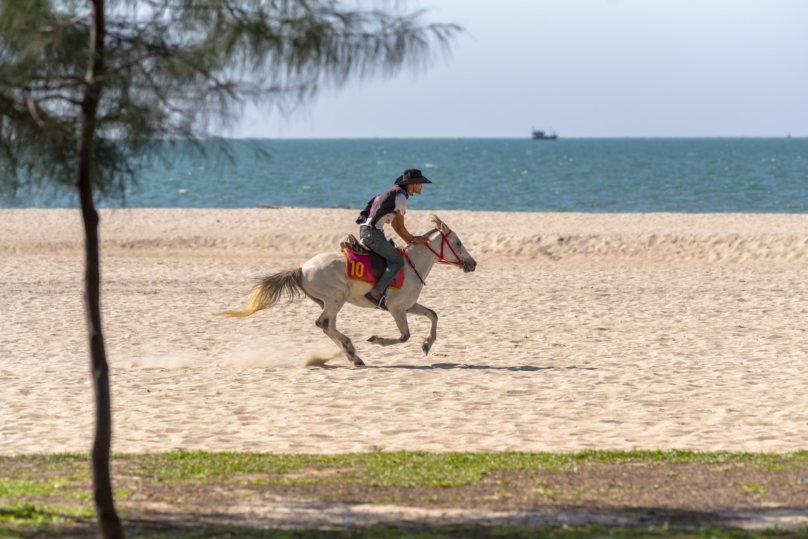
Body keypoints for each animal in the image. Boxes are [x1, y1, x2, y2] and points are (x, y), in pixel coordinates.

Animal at [218, 215, 476, 368]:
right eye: (458, 243)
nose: (472, 264)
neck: (412, 266)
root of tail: (302, 269)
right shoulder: (397, 309)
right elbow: (404, 336)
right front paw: (377, 340)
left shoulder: (409, 306)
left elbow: (433, 314)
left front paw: (427, 344)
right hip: (336, 298)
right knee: (323, 324)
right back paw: (352, 350)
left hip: (330, 302)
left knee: (327, 326)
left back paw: (352, 354)